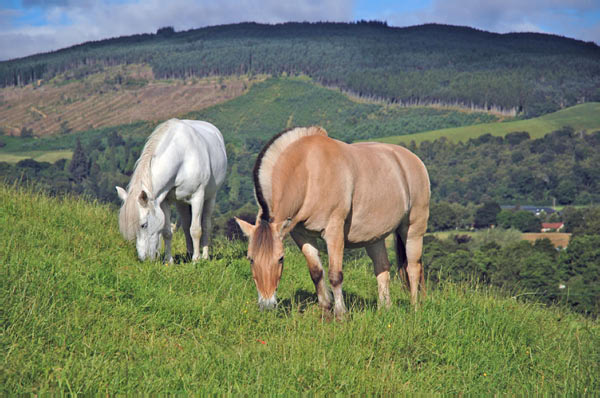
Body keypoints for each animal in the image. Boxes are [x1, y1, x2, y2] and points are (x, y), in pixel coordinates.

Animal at [115, 119, 227, 262]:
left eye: (143, 225)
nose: (144, 259)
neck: (181, 157)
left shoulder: (198, 197)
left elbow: (196, 230)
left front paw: (196, 260)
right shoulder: (164, 201)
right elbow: (168, 232)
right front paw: (168, 260)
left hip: (210, 197)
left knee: (206, 224)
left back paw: (204, 256)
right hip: (181, 203)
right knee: (186, 225)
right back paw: (189, 253)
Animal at [237, 126, 428, 318]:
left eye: (280, 258)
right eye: (250, 259)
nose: (267, 305)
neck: (309, 173)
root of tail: (413, 160)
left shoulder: (334, 232)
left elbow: (335, 276)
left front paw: (341, 314)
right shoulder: (302, 235)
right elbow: (316, 272)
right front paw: (326, 310)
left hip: (413, 230)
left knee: (413, 269)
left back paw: (415, 309)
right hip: (375, 237)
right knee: (382, 268)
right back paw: (384, 310)